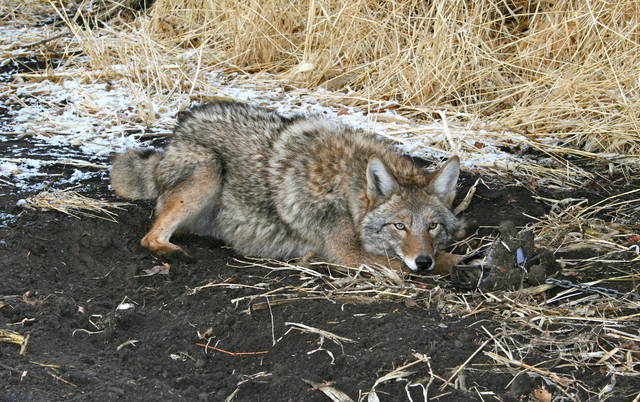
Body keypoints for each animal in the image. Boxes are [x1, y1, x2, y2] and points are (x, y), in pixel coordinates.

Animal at [110, 101, 462, 274]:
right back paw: (177, 254)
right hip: (209, 170)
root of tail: (176, 136)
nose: (423, 261)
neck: (347, 187)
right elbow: (427, 264)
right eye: (400, 226)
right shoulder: (349, 255)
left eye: (432, 226)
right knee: (149, 237)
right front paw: (461, 263)